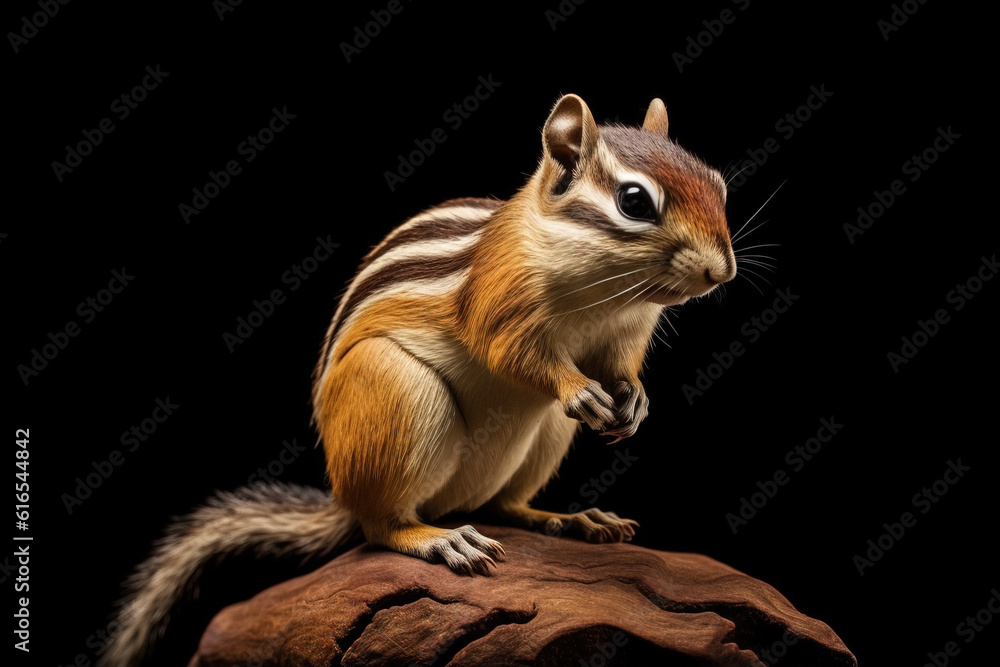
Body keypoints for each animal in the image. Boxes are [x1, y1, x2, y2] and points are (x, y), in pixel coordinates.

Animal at [101, 93, 736, 666]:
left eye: (719, 185)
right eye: (634, 201)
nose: (721, 271)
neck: (605, 294)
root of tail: (344, 494)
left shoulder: (627, 331)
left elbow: (621, 368)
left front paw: (636, 402)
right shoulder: (500, 300)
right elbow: (515, 355)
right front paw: (578, 389)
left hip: (540, 436)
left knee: (504, 505)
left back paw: (569, 519)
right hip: (400, 389)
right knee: (380, 527)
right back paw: (436, 537)